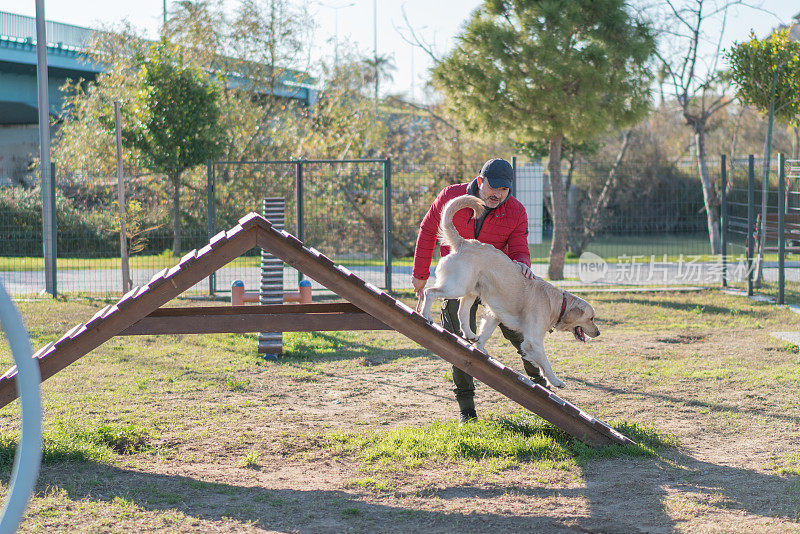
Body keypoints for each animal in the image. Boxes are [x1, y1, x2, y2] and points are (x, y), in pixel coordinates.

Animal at [418, 195, 600, 388]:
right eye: (591, 318)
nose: (598, 333)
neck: (557, 304)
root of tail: (464, 242)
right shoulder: (533, 341)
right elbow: (545, 363)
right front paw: (556, 381)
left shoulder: (494, 315)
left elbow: (485, 334)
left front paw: (480, 348)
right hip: (457, 286)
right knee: (429, 292)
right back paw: (427, 315)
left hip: (470, 290)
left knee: (462, 313)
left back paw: (469, 334)